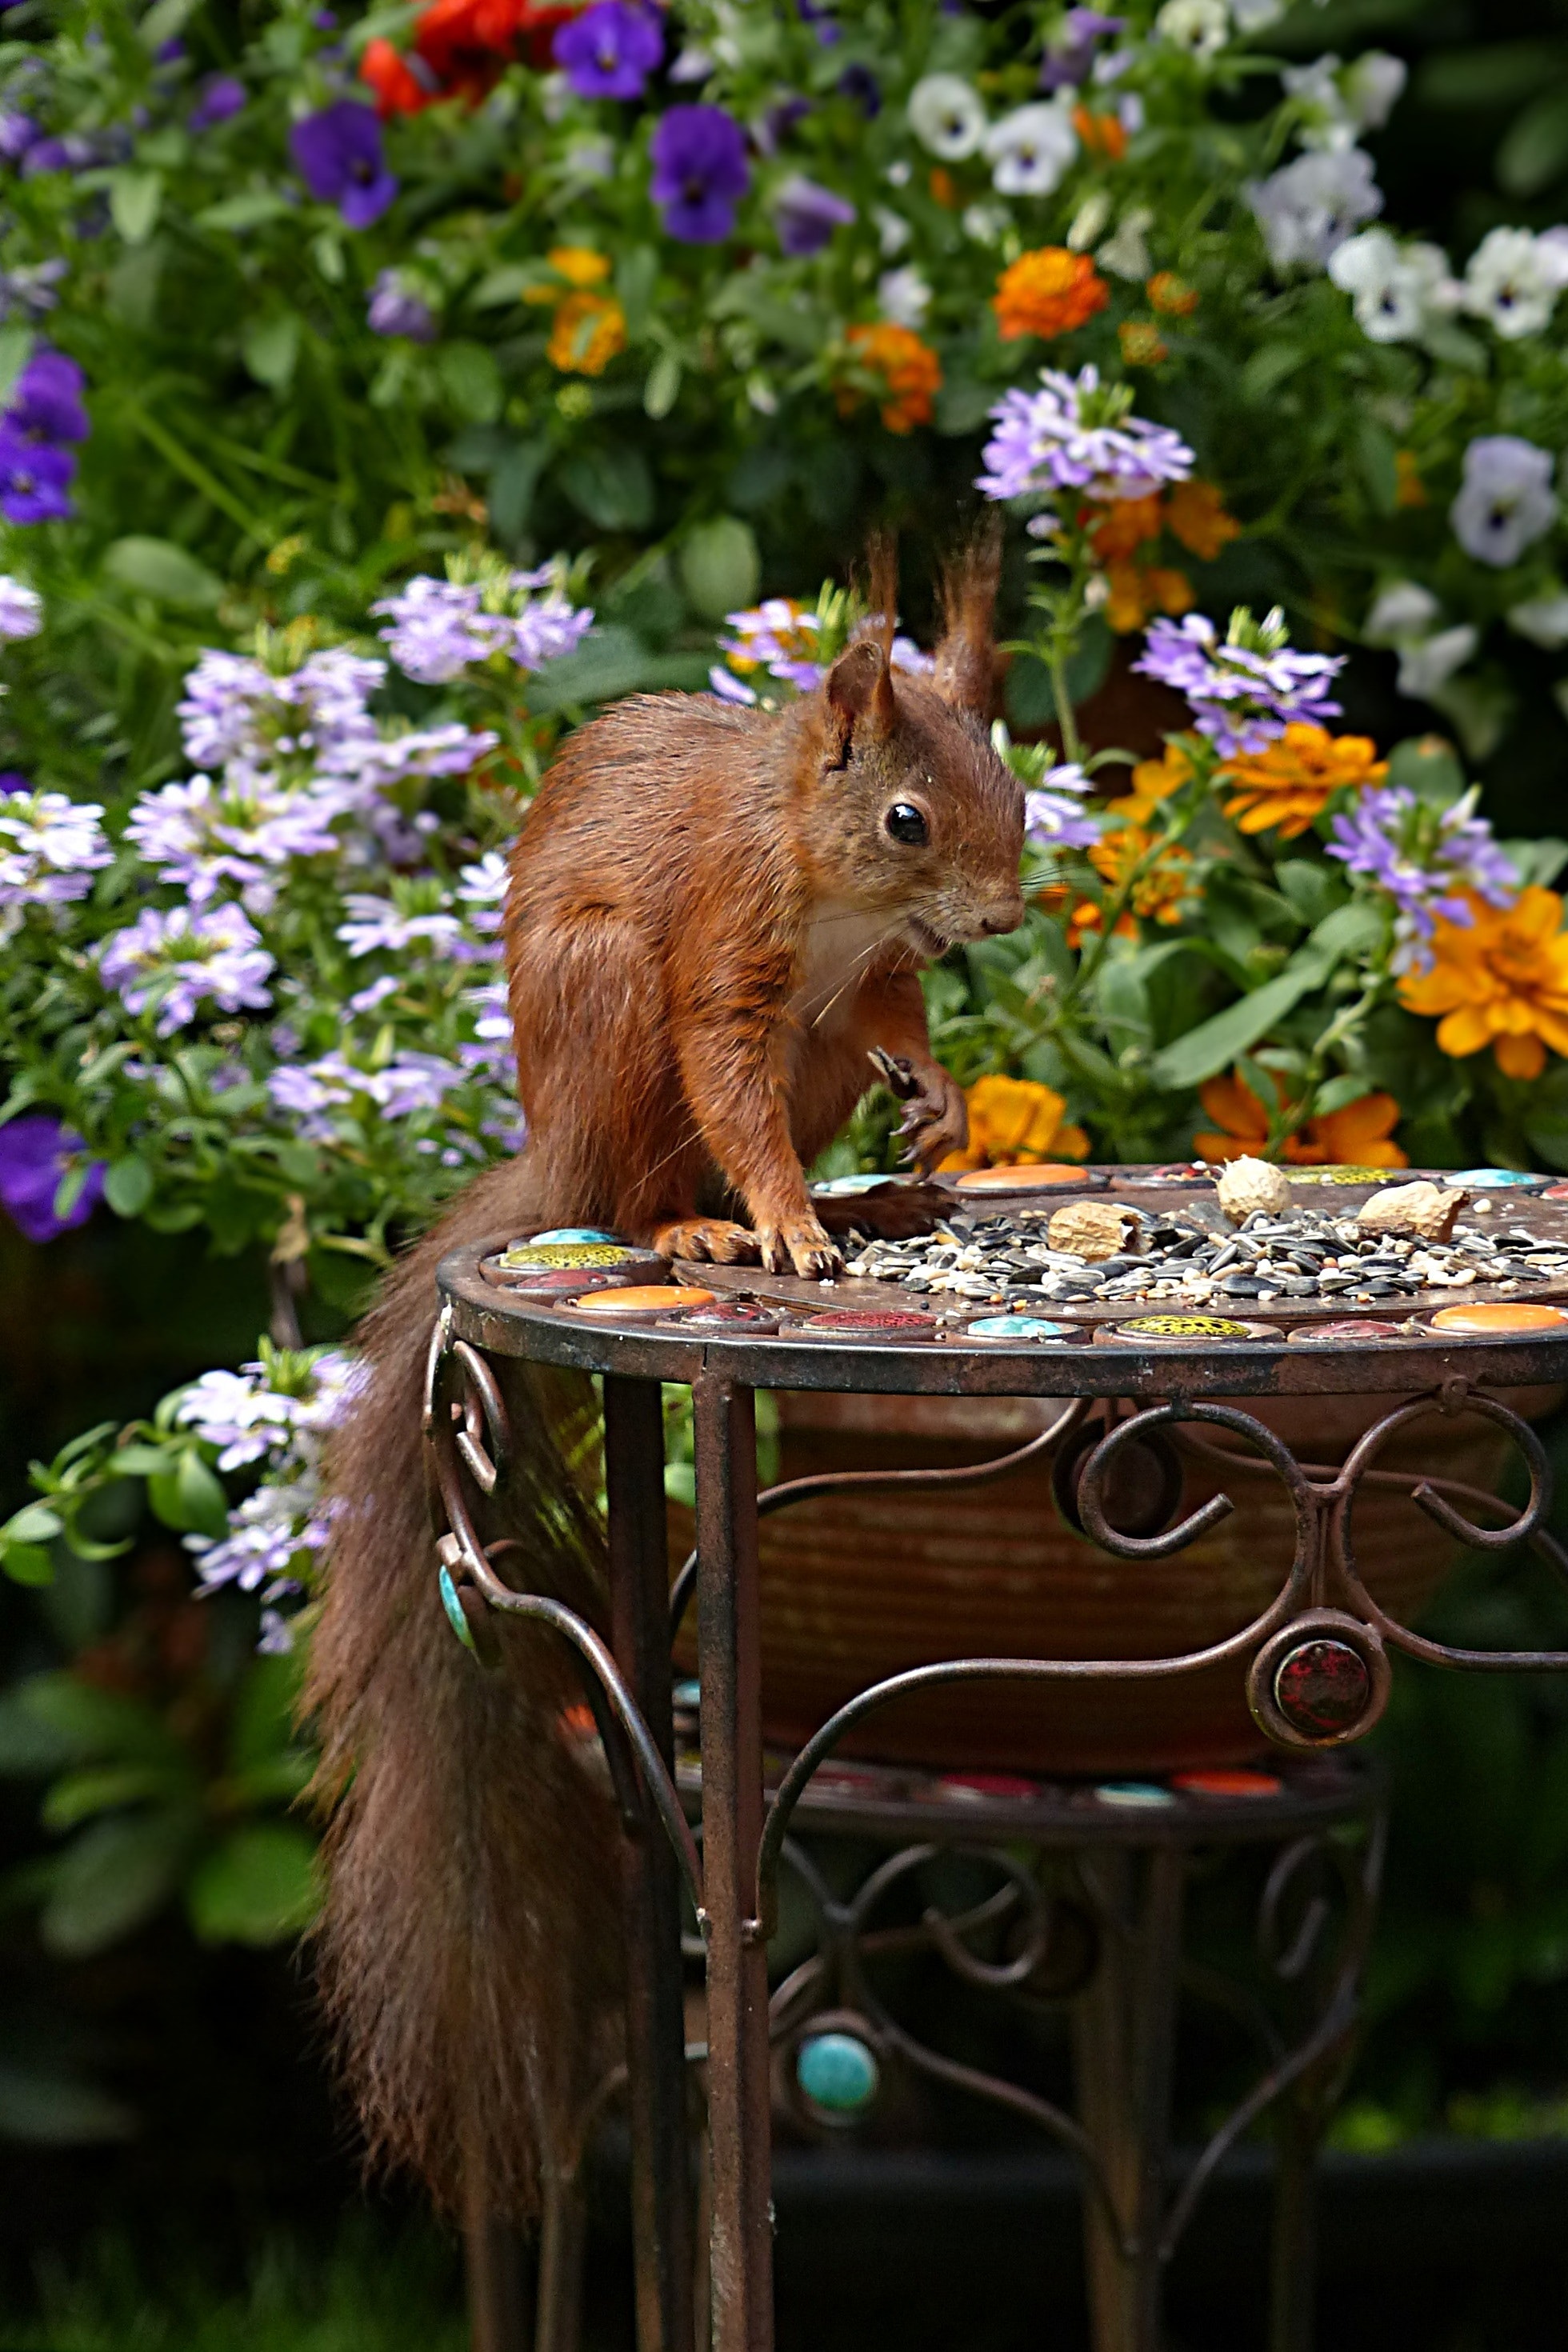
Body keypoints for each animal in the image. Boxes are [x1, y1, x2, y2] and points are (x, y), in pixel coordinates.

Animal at [310, 538, 1030, 2220]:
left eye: (1013, 781)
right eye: (910, 818)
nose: (996, 920)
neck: (832, 882)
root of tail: (554, 1154)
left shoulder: (863, 986)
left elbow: (894, 1019)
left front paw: (938, 1105)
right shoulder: (722, 948)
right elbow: (729, 1077)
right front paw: (777, 1215)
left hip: (804, 1055)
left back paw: (870, 1202)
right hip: (604, 1009)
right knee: (643, 1179)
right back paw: (707, 1221)